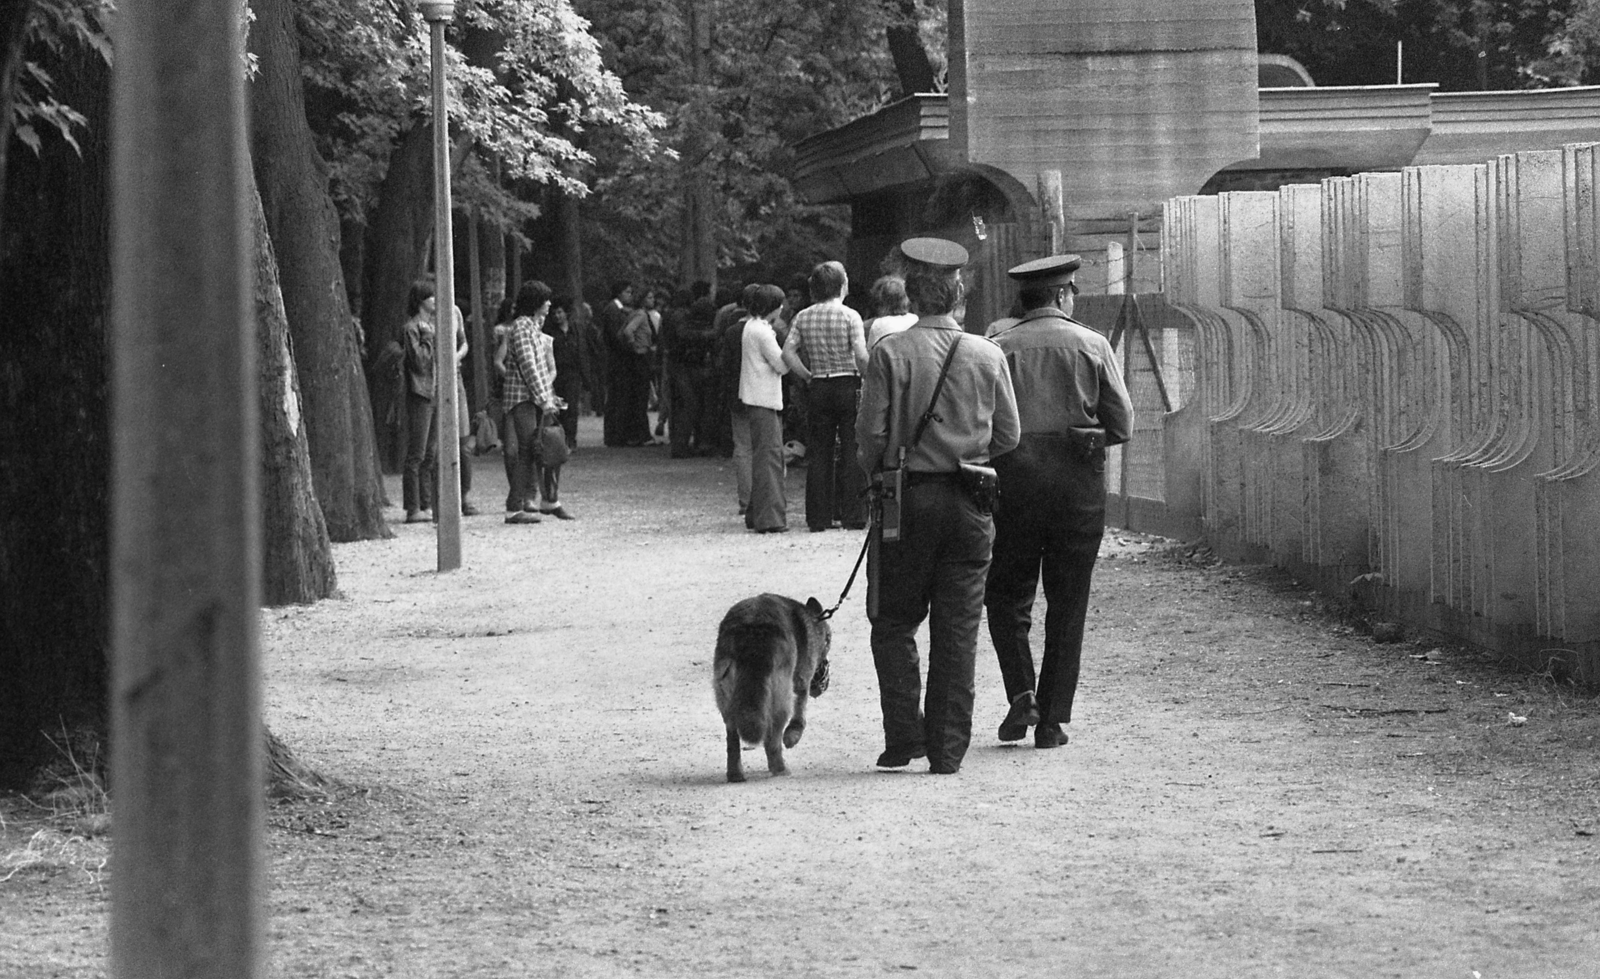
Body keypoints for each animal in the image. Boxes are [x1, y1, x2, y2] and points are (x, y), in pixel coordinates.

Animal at [716, 591, 838, 783]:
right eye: (828, 640)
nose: (823, 681)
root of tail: (752, 634)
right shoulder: (802, 680)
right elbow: (800, 713)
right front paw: (793, 735)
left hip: (727, 700)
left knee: (732, 740)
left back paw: (735, 774)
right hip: (781, 699)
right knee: (772, 740)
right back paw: (780, 768)